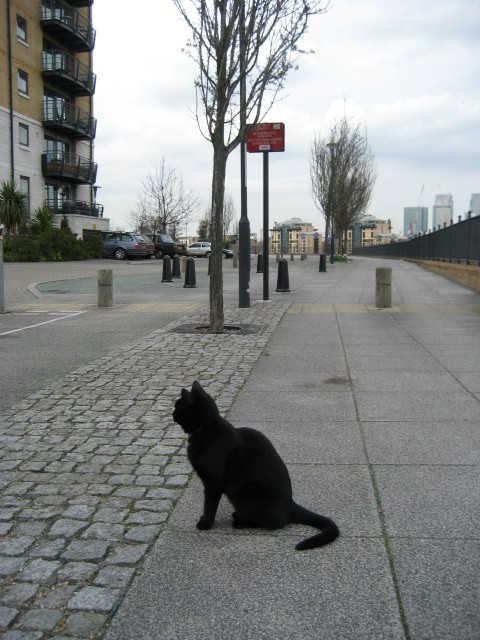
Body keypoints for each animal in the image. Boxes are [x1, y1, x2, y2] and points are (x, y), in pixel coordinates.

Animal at [172, 380, 338, 552]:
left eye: (177, 406)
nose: (172, 414)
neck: (207, 428)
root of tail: (289, 503)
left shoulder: (213, 483)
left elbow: (209, 505)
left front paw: (205, 523)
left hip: (246, 492)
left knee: (276, 523)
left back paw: (240, 523)